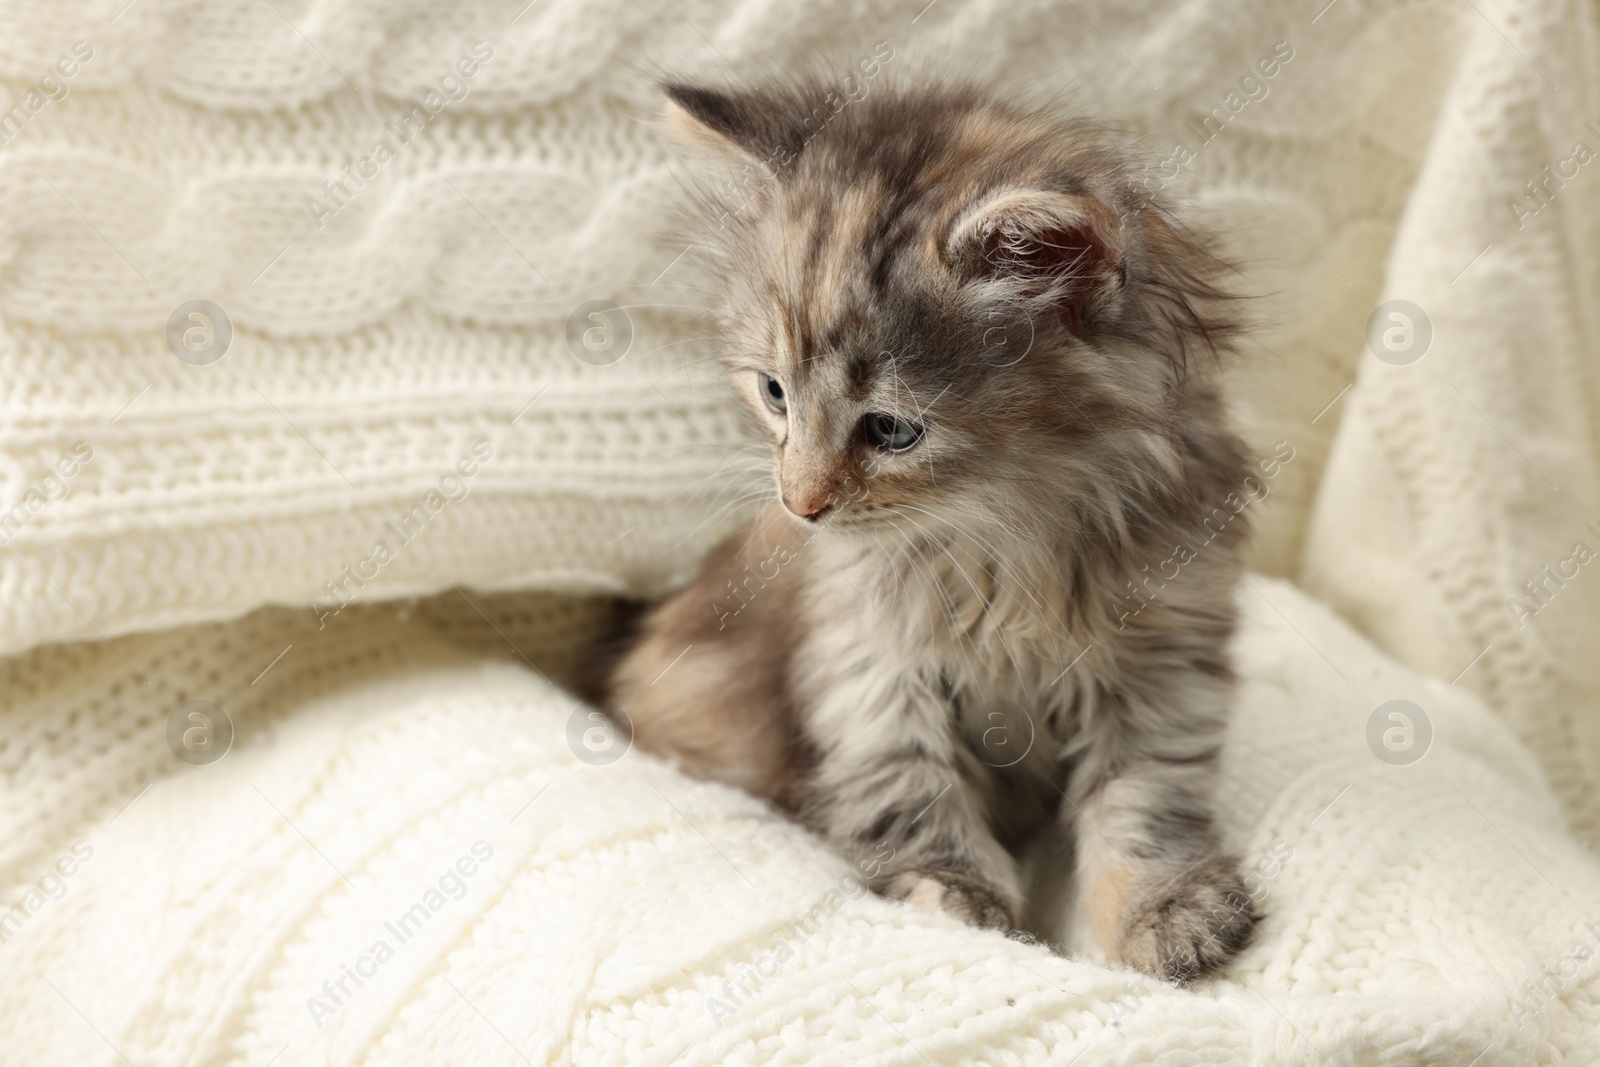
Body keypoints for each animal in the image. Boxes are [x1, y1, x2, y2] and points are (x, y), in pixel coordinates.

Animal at [595, 75, 1254, 985]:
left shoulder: (1164, 654)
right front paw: (952, 894)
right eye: (774, 392)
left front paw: (1165, 909)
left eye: (892, 430)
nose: (800, 503)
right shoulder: (865, 659)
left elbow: (1146, 799)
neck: (1007, 539)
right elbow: (905, 786)